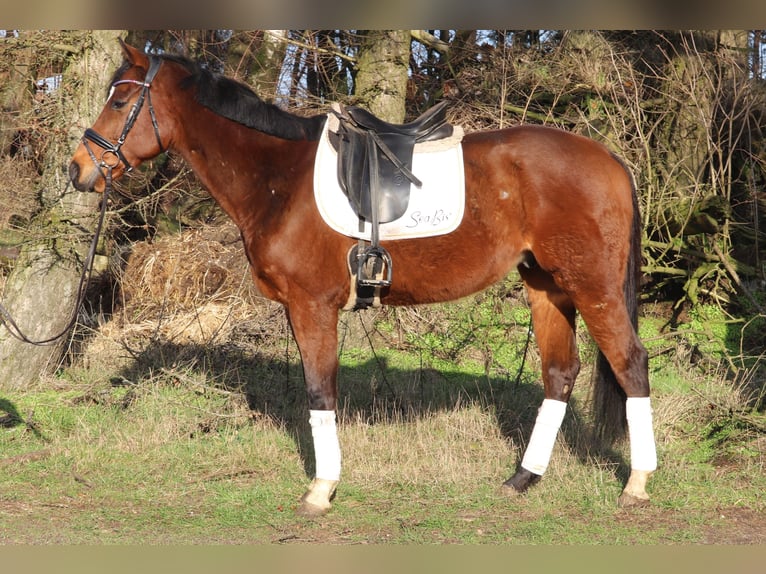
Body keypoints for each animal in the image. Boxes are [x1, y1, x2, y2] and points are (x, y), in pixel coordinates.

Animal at [67, 40, 660, 516]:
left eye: (119, 101)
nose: (78, 169)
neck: (278, 179)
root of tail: (610, 158)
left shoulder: (312, 306)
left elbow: (319, 391)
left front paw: (321, 489)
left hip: (592, 287)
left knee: (631, 364)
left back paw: (636, 484)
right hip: (546, 287)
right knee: (560, 374)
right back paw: (522, 478)